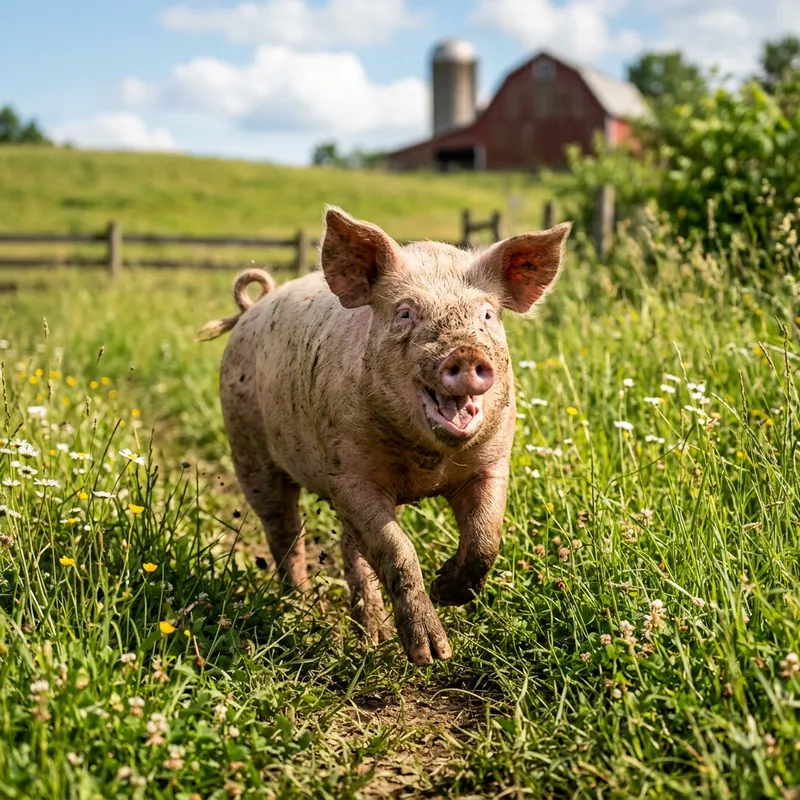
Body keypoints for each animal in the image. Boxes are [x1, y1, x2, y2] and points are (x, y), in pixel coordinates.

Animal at [198, 206, 571, 666]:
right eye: (406, 313)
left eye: (486, 314)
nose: (465, 353)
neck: (426, 465)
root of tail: (253, 307)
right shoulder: (350, 475)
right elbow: (397, 551)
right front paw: (432, 655)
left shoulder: (493, 461)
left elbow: (486, 537)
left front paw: (445, 590)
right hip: (249, 448)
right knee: (284, 531)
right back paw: (301, 608)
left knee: (348, 546)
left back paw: (371, 637)